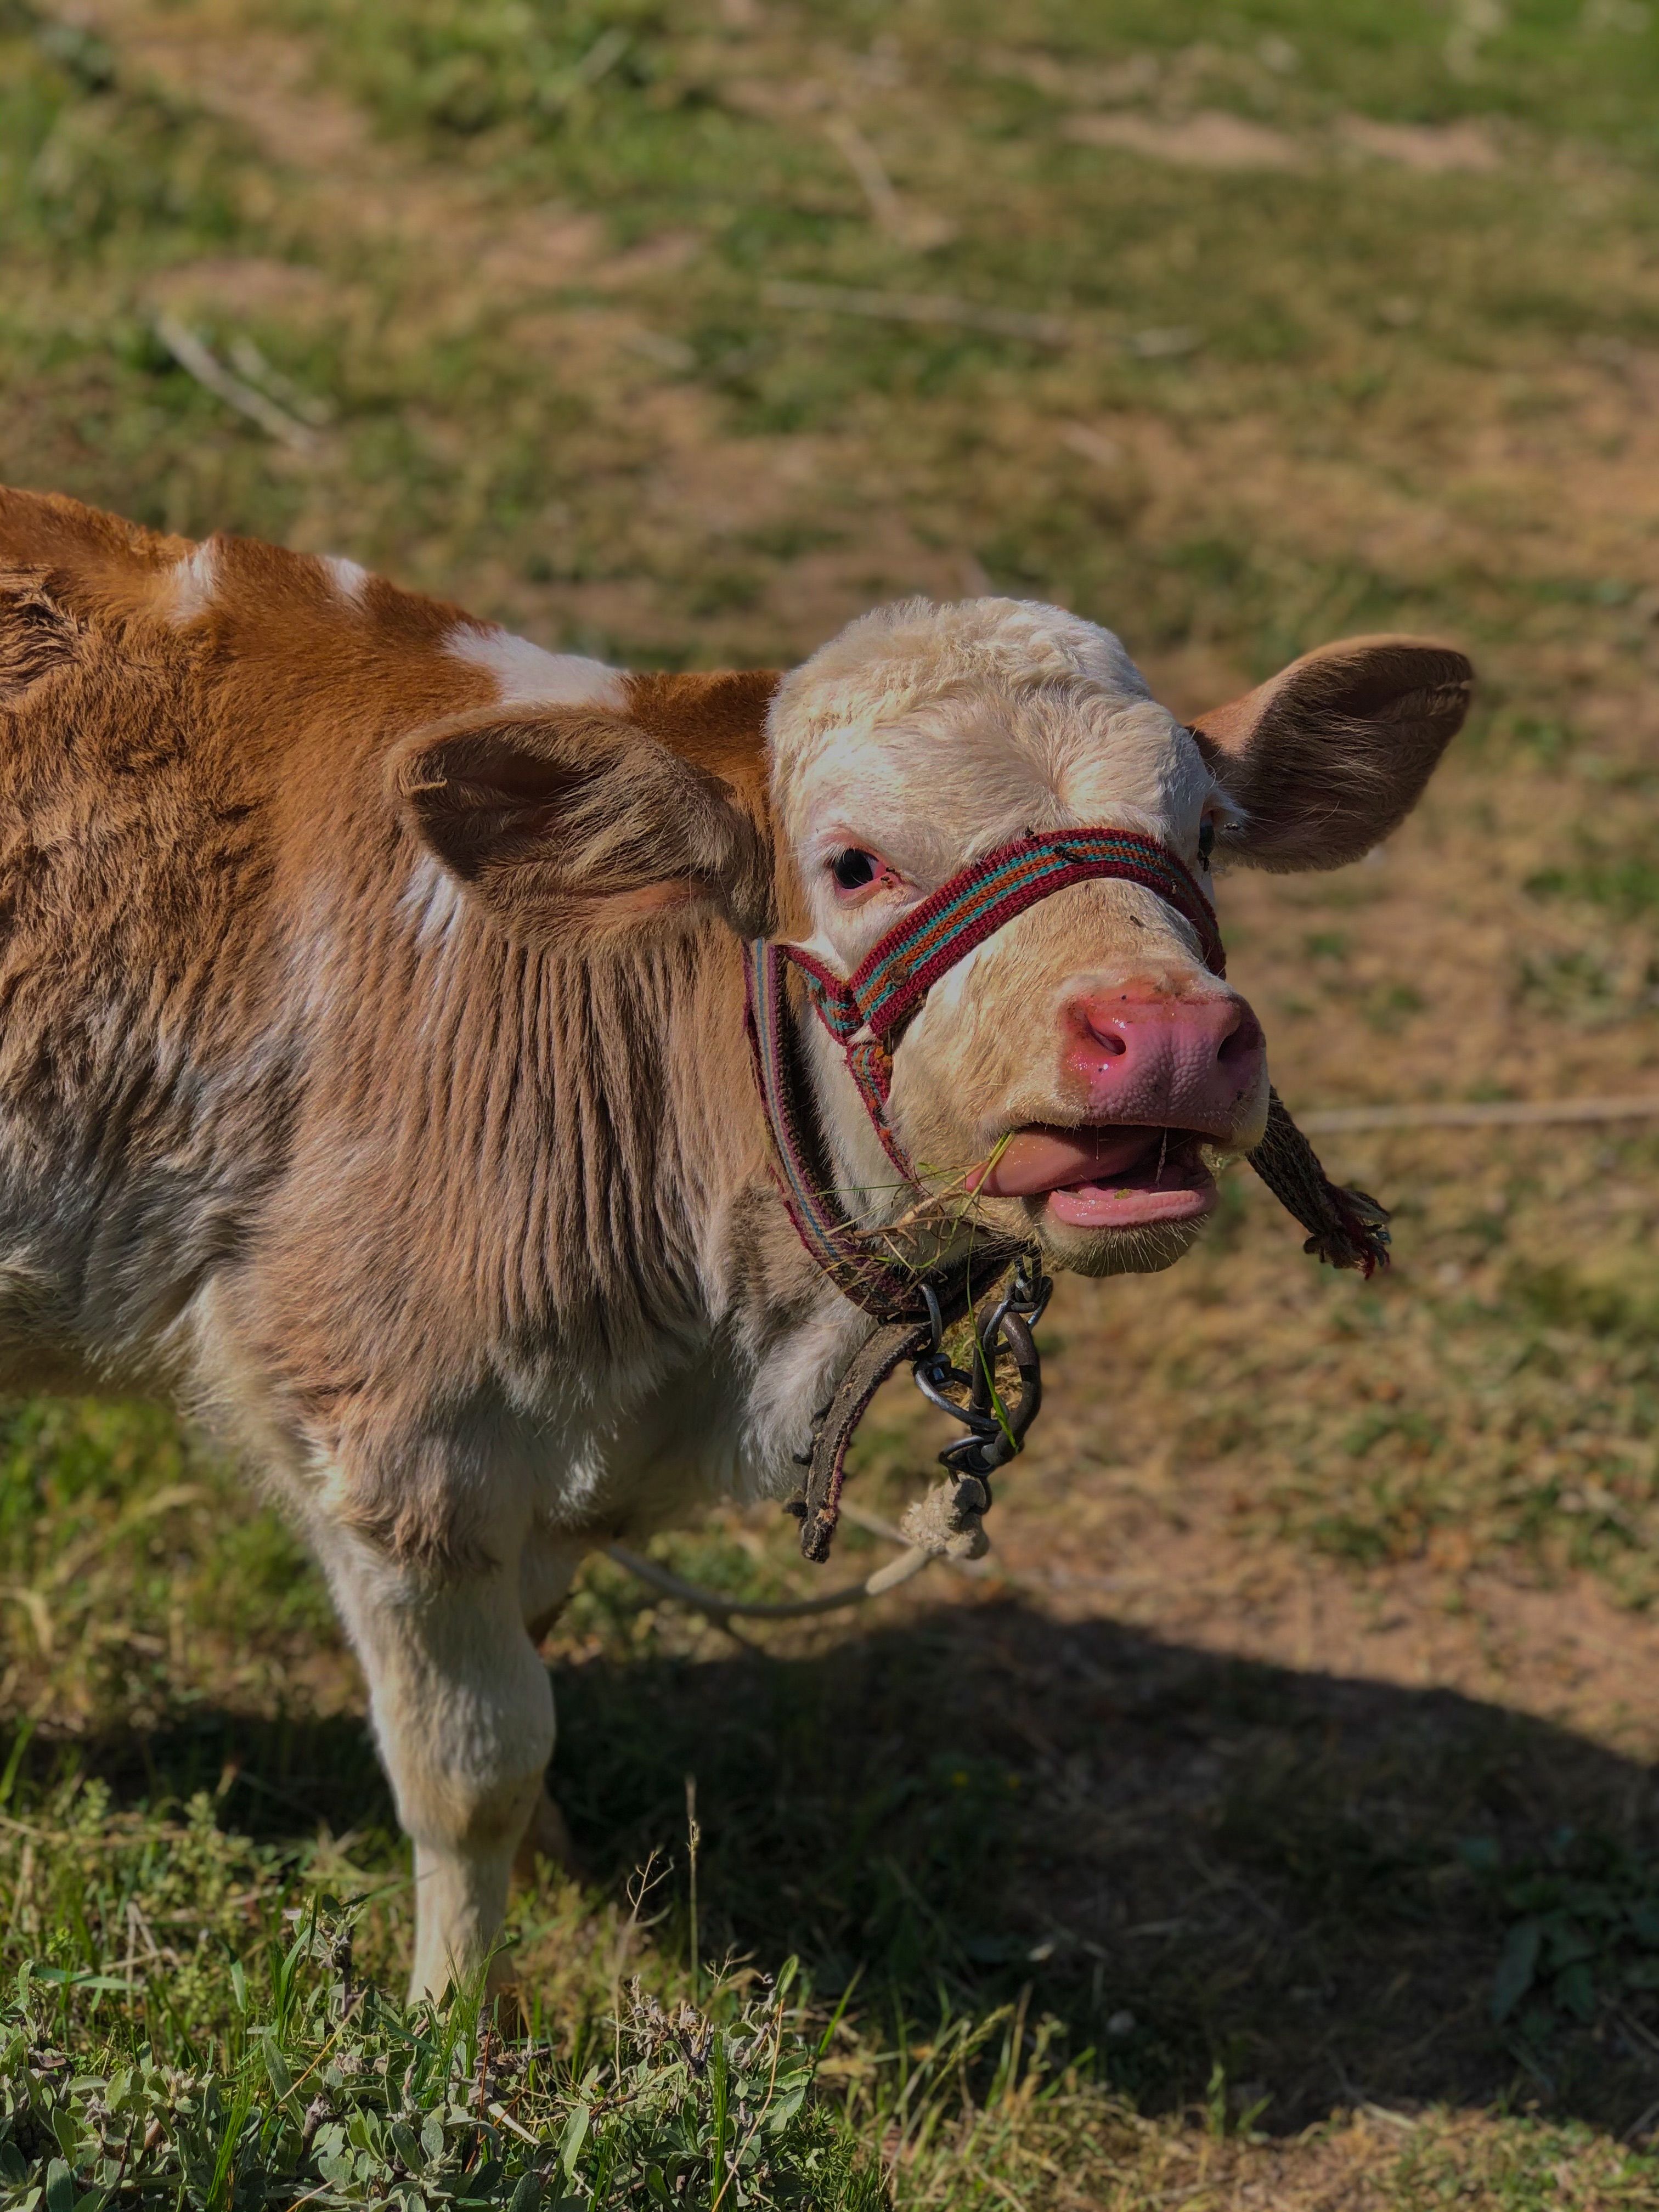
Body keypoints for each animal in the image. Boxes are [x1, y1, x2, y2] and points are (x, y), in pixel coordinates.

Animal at [0, 486, 1470, 1997]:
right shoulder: (390, 1424)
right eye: (855, 864)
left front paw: (566, 1881)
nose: (1167, 1036)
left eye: (1207, 836)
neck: (720, 1330)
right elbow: (473, 1769)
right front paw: (452, 2016)